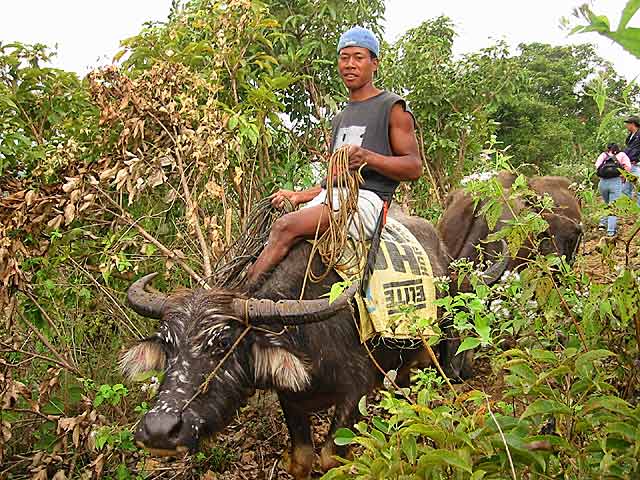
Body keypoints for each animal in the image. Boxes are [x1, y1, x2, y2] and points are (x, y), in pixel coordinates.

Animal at [122, 216, 508, 478]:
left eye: (224, 343)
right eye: (168, 346)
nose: (159, 431)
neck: (308, 336)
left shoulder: (355, 392)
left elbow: (329, 457)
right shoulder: (291, 398)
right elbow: (303, 459)